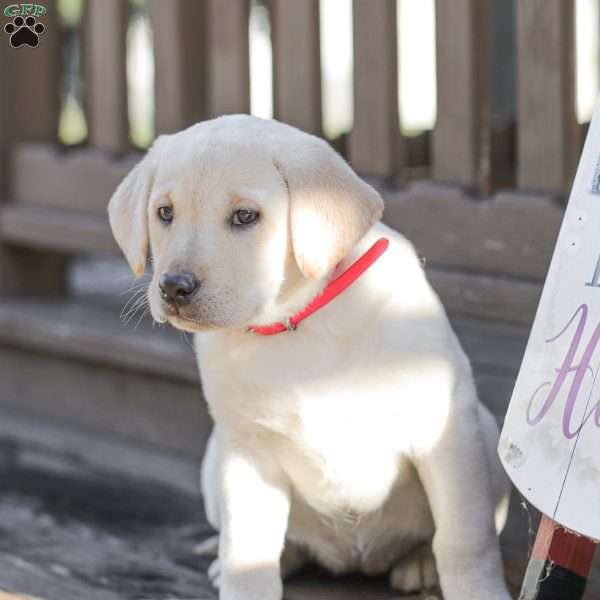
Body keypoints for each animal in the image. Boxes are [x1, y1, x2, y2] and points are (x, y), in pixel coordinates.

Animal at [109, 113, 510, 600]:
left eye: (246, 216)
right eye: (164, 212)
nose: (174, 287)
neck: (295, 323)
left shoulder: (443, 432)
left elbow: (463, 538)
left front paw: (477, 588)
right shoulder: (247, 453)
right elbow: (247, 555)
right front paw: (239, 577)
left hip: (485, 433)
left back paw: (419, 564)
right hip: (215, 456)